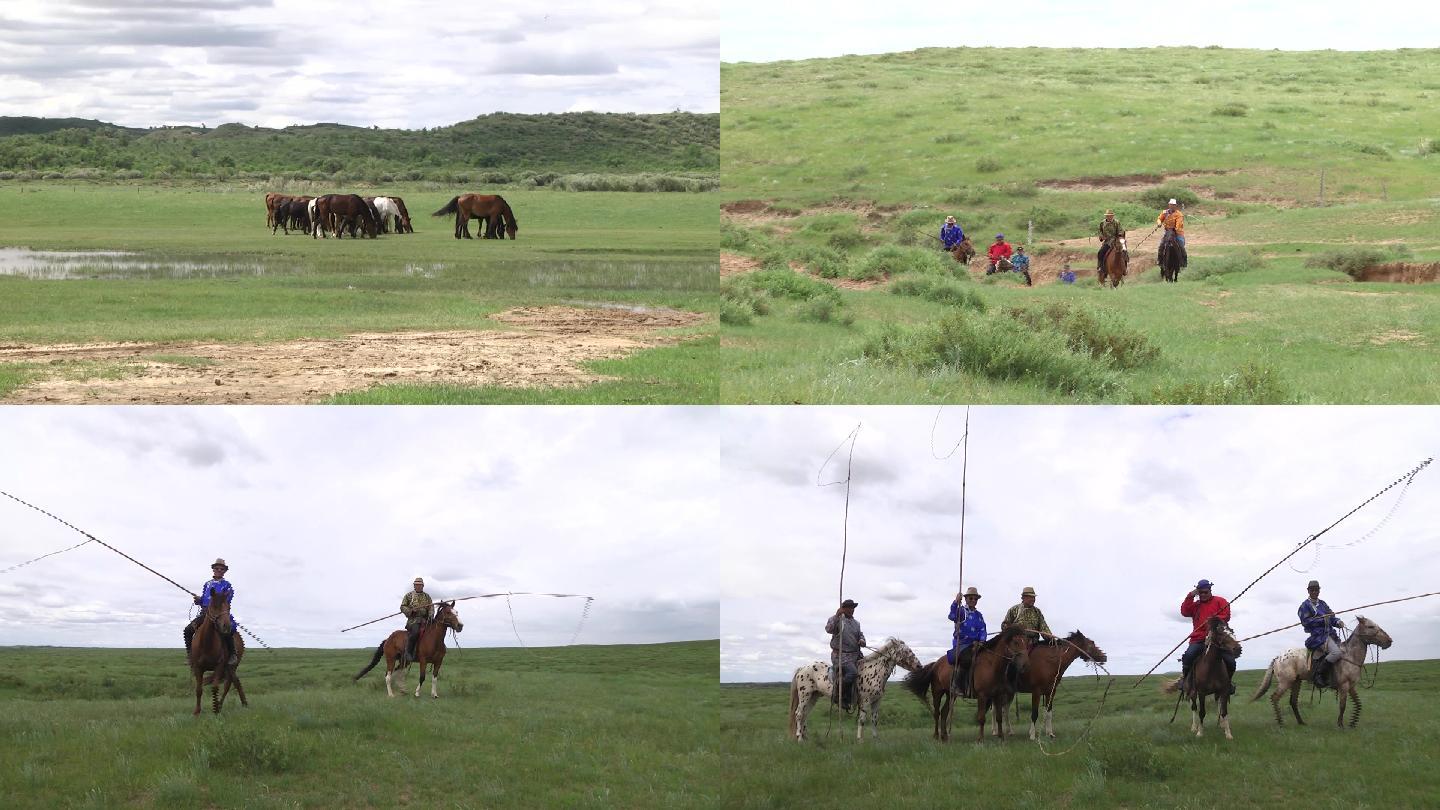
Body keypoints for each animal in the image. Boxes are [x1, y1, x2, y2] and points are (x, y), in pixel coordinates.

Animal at [789, 634, 921, 743]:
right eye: (906, 651)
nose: (919, 666)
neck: (874, 671)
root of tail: (802, 668)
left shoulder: (877, 701)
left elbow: (874, 719)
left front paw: (875, 738)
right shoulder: (865, 701)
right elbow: (862, 720)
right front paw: (860, 740)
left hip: (813, 697)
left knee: (805, 714)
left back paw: (805, 737)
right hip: (805, 695)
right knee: (799, 714)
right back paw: (799, 738)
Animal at [1249, 611, 1393, 726]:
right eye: (1371, 626)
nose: (1389, 641)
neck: (1350, 656)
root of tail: (1277, 657)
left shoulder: (1351, 686)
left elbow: (1358, 704)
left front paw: (1353, 723)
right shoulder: (1344, 685)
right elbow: (1343, 706)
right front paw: (1341, 725)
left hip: (1296, 682)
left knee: (1293, 701)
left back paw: (1301, 722)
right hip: (1286, 682)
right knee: (1275, 697)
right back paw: (1280, 722)